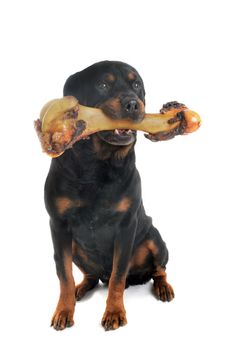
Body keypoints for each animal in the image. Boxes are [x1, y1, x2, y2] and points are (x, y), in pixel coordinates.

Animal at [44, 60, 174, 330]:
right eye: (103, 85)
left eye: (137, 85)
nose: (133, 103)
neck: (98, 163)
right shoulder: (58, 226)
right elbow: (64, 274)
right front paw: (64, 310)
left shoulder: (126, 226)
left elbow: (118, 276)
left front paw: (114, 312)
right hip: (75, 246)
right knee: (91, 275)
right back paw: (81, 288)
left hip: (155, 238)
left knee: (159, 269)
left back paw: (163, 287)